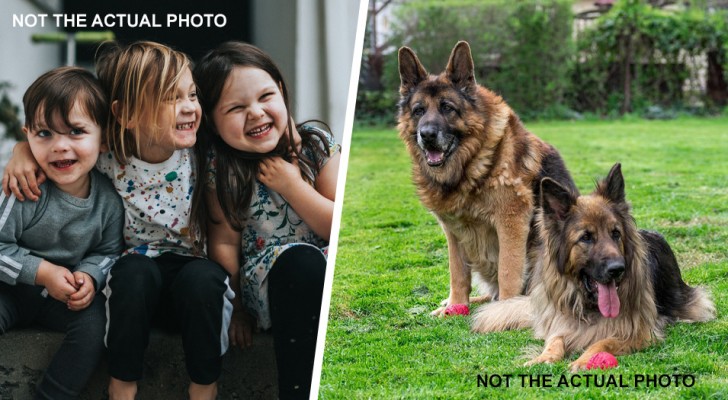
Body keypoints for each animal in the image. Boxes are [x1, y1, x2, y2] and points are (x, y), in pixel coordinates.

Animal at [396, 40, 576, 316]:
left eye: (447, 108)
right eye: (418, 111)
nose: (426, 135)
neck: (469, 166)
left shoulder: (511, 222)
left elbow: (508, 272)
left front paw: (504, 310)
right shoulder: (453, 231)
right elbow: (457, 274)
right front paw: (456, 305)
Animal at [472, 164, 716, 370]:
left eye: (615, 233)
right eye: (586, 237)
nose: (618, 269)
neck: (590, 306)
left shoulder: (640, 332)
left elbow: (602, 342)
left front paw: (585, 359)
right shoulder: (561, 323)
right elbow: (554, 340)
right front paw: (543, 357)